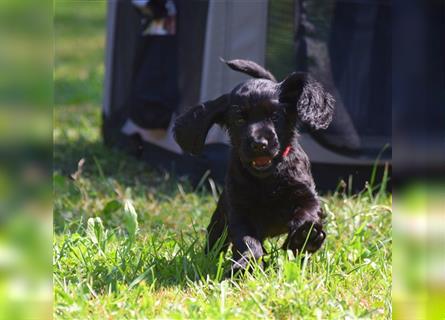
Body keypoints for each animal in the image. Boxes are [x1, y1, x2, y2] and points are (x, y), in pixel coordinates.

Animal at [173, 59, 332, 272]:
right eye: (240, 119)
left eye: (275, 117)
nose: (259, 144)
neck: (267, 179)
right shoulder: (239, 210)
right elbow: (248, 242)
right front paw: (245, 265)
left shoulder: (305, 194)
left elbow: (308, 212)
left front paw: (305, 236)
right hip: (220, 219)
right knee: (216, 239)